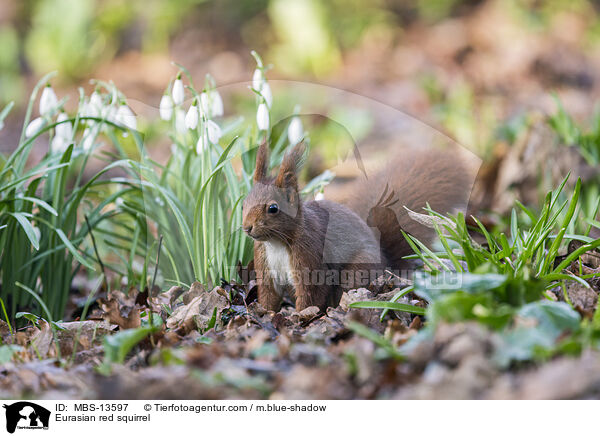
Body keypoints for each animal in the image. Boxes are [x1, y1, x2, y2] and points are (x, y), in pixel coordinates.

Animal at [243, 141, 474, 314]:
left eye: (273, 208)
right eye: (244, 201)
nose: (246, 227)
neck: (276, 242)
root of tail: (386, 261)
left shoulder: (310, 257)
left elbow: (311, 295)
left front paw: (299, 317)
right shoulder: (265, 264)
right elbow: (269, 294)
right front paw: (265, 313)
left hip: (357, 271)